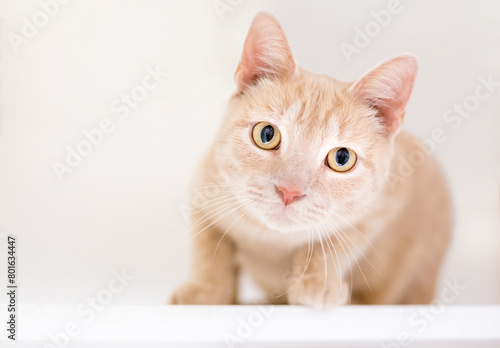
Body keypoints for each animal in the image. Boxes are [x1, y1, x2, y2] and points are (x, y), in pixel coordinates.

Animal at [170, 10, 452, 306]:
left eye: (342, 158)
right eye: (267, 134)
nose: (289, 191)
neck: (273, 240)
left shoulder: (377, 210)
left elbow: (334, 244)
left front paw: (316, 281)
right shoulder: (203, 190)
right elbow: (210, 248)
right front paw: (206, 289)